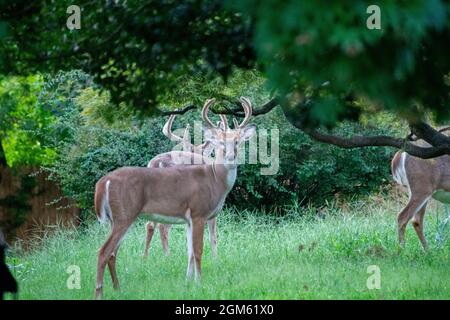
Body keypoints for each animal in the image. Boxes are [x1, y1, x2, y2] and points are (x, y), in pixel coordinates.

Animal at [144, 107, 229, 258]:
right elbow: (212, 235)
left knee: (150, 224)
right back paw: (167, 255)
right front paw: (215, 257)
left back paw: (146, 257)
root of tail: (157, 163)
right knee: (162, 226)